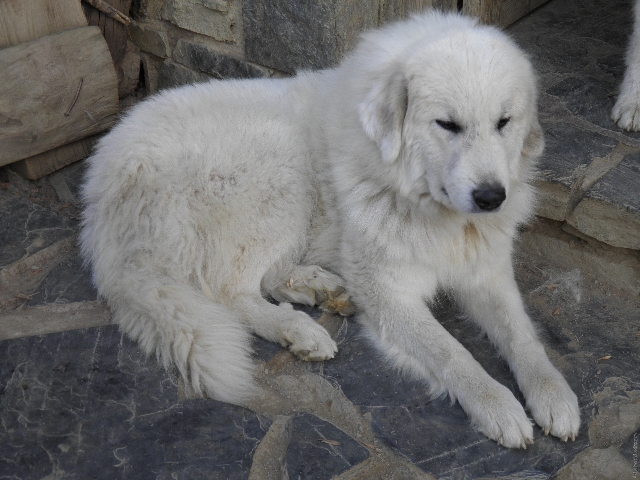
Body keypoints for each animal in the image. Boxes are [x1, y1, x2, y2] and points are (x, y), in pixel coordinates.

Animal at [80, 11, 580, 448]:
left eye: (504, 123)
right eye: (448, 124)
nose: (492, 197)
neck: (425, 204)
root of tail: (106, 187)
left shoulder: (487, 273)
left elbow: (523, 336)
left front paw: (553, 395)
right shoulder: (389, 291)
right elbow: (453, 352)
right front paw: (498, 405)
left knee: (265, 277)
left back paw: (321, 289)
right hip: (282, 168)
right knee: (229, 290)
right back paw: (297, 328)